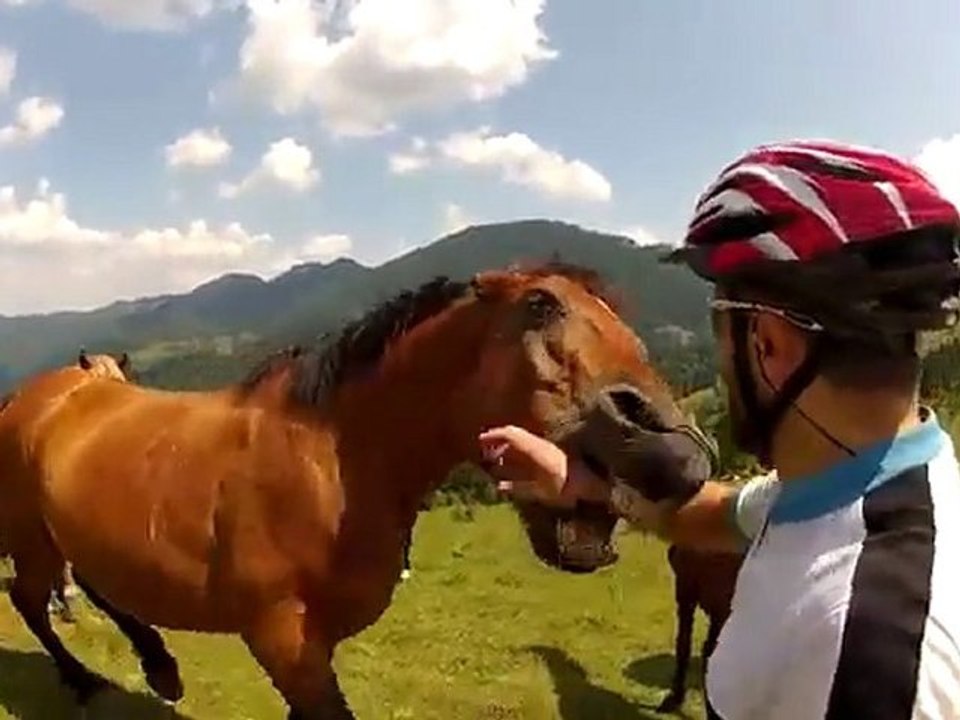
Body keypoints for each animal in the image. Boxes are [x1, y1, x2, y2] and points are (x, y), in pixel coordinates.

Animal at [0, 263, 713, 719]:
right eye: (540, 305)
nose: (680, 454)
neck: (332, 464)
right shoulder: (284, 643)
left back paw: (159, 667)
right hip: (32, 538)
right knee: (30, 599)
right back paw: (81, 679)